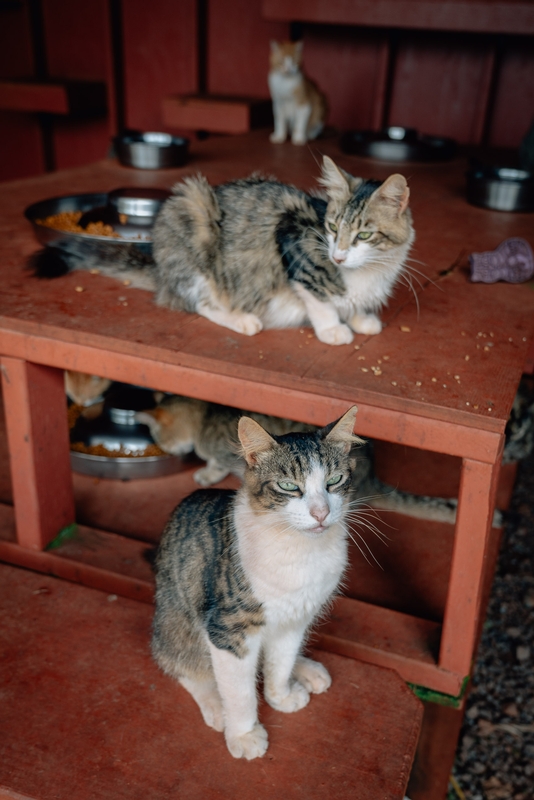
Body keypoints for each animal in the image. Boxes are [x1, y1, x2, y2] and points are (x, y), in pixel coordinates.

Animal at [34, 155, 414, 346]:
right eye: (332, 228)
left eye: (364, 234)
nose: (338, 256)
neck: (369, 272)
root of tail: (162, 271)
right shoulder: (292, 238)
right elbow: (320, 300)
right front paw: (334, 329)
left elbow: (353, 304)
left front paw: (361, 318)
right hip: (193, 214)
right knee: (201, 304)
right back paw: (243, 319)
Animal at [153, 406, 362, 756]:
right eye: (288, 486)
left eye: (334, 480)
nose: (320, 513)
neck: (298, 550)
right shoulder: (228, 630)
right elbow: (239, 691)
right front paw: (243, 734)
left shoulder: (295, 618)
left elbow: (281, 661)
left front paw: (280, 695)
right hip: (175, 618)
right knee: (181, 662)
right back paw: (215, 704)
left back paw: (306, 670)